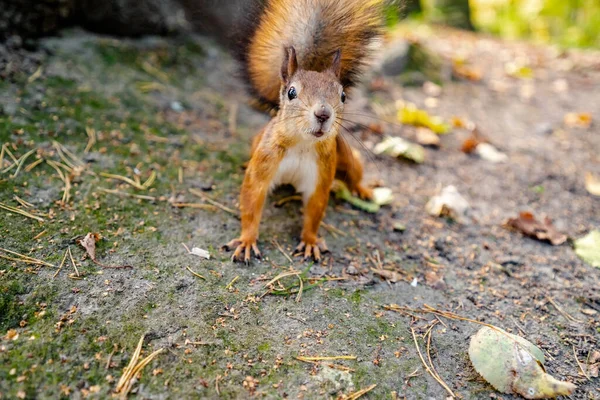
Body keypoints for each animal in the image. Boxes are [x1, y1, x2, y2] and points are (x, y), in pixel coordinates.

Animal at [224, 0, 390, 262]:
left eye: (343, 95)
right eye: (292, 92)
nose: (323, 114)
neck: (302, 144)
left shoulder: (320, 174)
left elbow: (314, 211)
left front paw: (310, 241)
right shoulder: (264, 163)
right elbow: (251, 201)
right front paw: (247, 240)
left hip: (347, 158)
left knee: (354, 174)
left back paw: (363, 189)